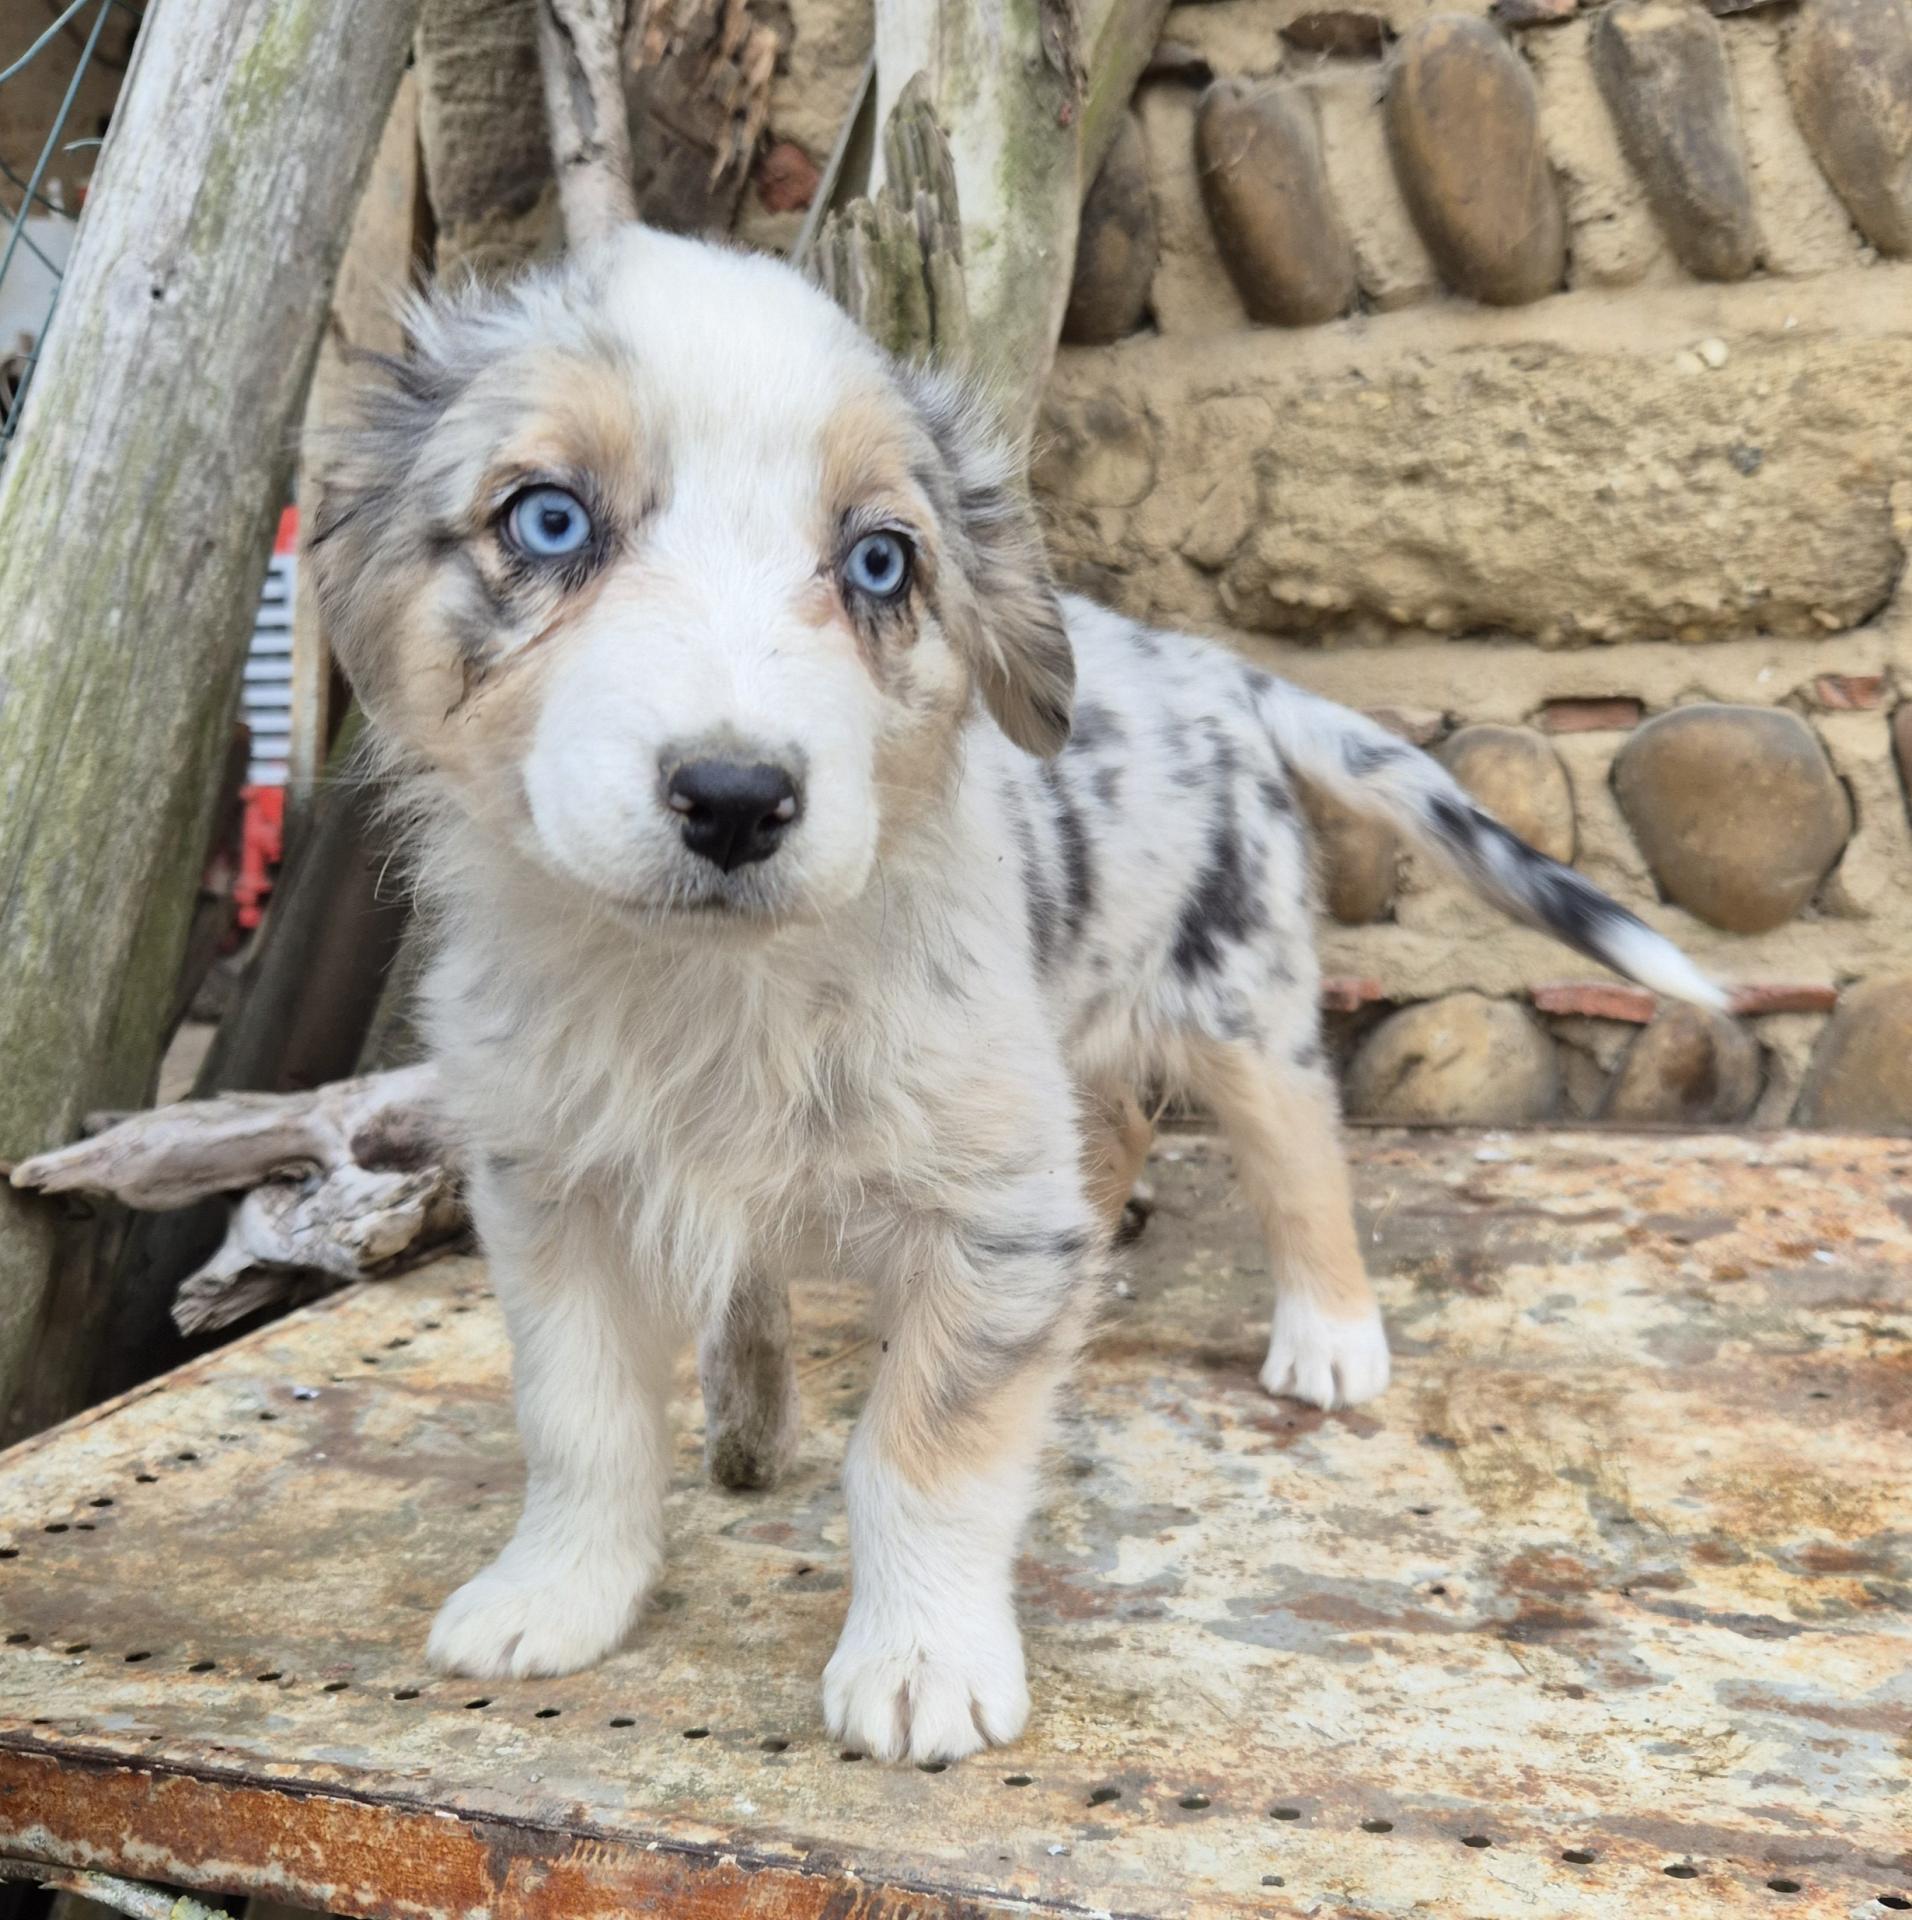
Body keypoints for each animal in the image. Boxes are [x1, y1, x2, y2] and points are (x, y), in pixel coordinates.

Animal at [311, 222, 1722, 1764]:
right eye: (551, 523)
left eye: (879, 561)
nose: (737, 799)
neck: (716, 984)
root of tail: (1214, 667)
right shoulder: (549, 1190)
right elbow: (580, 1420)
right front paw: (558, 1596)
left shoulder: (990, 1218)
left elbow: (924, 1449)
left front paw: (923, 1662)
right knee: (1115, 1137)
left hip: (1240, 996)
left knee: (1301, 1154)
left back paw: (1331, 1335)